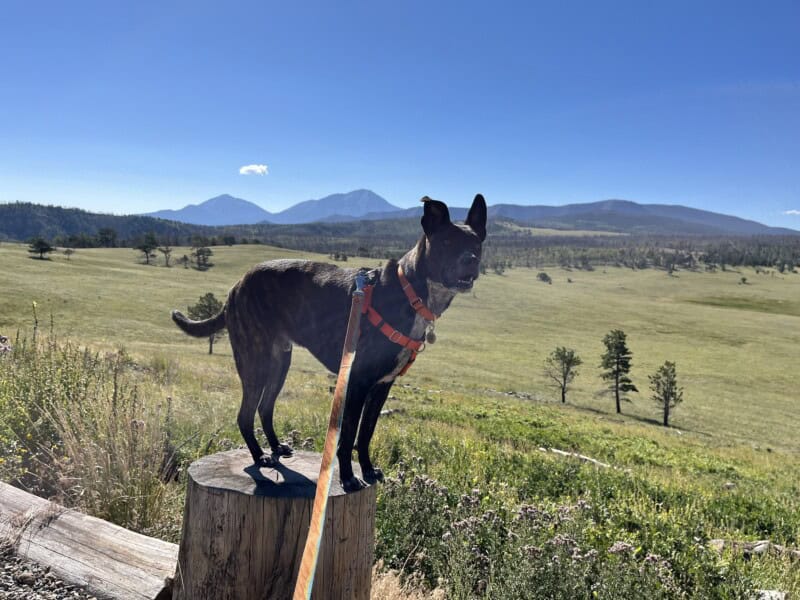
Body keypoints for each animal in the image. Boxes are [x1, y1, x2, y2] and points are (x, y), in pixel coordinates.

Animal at [173, 195, 488, 490]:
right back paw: (259, 455)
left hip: (279, 362)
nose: (470, 259)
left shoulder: (382, 387)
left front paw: (368, 471)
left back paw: (275, 447)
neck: (410, 290)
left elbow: (366, 433)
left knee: (265, 407)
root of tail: (235, 288)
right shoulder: (357, 382)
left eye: (477, 243)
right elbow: (347, 437)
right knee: (245, 414)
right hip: (255, 362)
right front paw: (348, 478)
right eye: (446, 241)